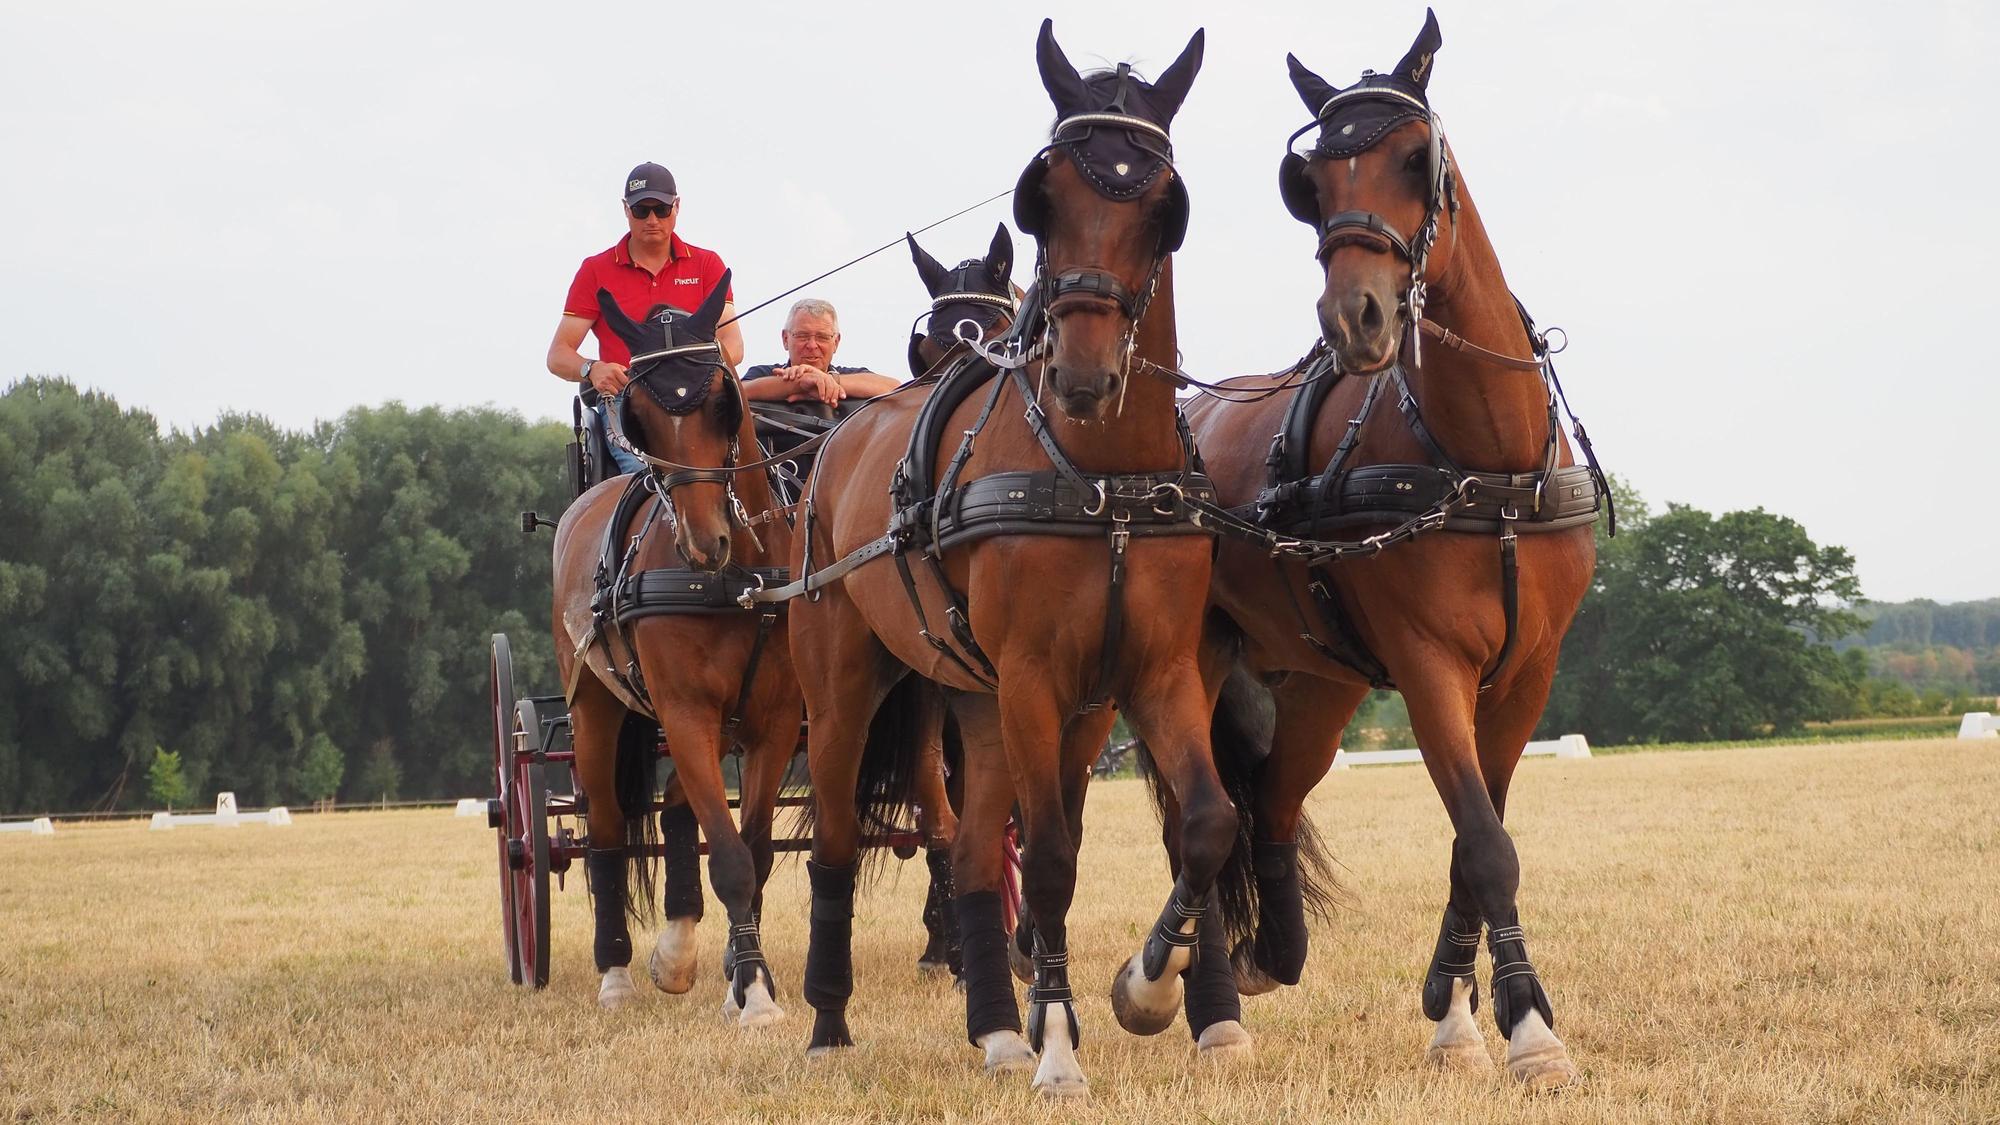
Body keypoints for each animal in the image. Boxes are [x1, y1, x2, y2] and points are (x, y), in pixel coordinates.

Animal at [549, 273, 800, 1027]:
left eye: (722, 401)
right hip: (596, 707)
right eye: (638, 416)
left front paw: (748, 979)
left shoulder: (774, 722)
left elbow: (752, 851)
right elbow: (730, 860)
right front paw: (753, 996)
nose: (701, 541)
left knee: (678, 811)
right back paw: (616, 972)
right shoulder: (685, 711)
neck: (737, 576)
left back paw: (679, 951)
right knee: (606, 828)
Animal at [779, 21, 1247, 1098]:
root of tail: (833, 442)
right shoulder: (1037, 678)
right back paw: (828, 1022)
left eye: (1162, 208)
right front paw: (1060, 1047)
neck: (1101, 479)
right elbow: (1053, 857)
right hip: (848, 686)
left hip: (979, 701)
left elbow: (1203, 822)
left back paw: (994, 1026)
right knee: (837, 840)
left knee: (967, 850)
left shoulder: (1144, 677)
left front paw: (1142, 987)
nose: (1081, 374)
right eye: (1046, 197)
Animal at [1180, 11, 1603, 1089]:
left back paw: (1272, 951)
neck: (1484, 461)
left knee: (1271, 798)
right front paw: (1528, 1030)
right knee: (1197, 811)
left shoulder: (1527, 672)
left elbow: (1473, 839)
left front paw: (1458, 1012)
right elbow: (1485, 843)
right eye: (1312, 185)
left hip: (1318, 678)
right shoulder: (1426, 665)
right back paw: (1211, 1007)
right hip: (1185, 662)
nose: (1355, 316)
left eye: (1415, 157)